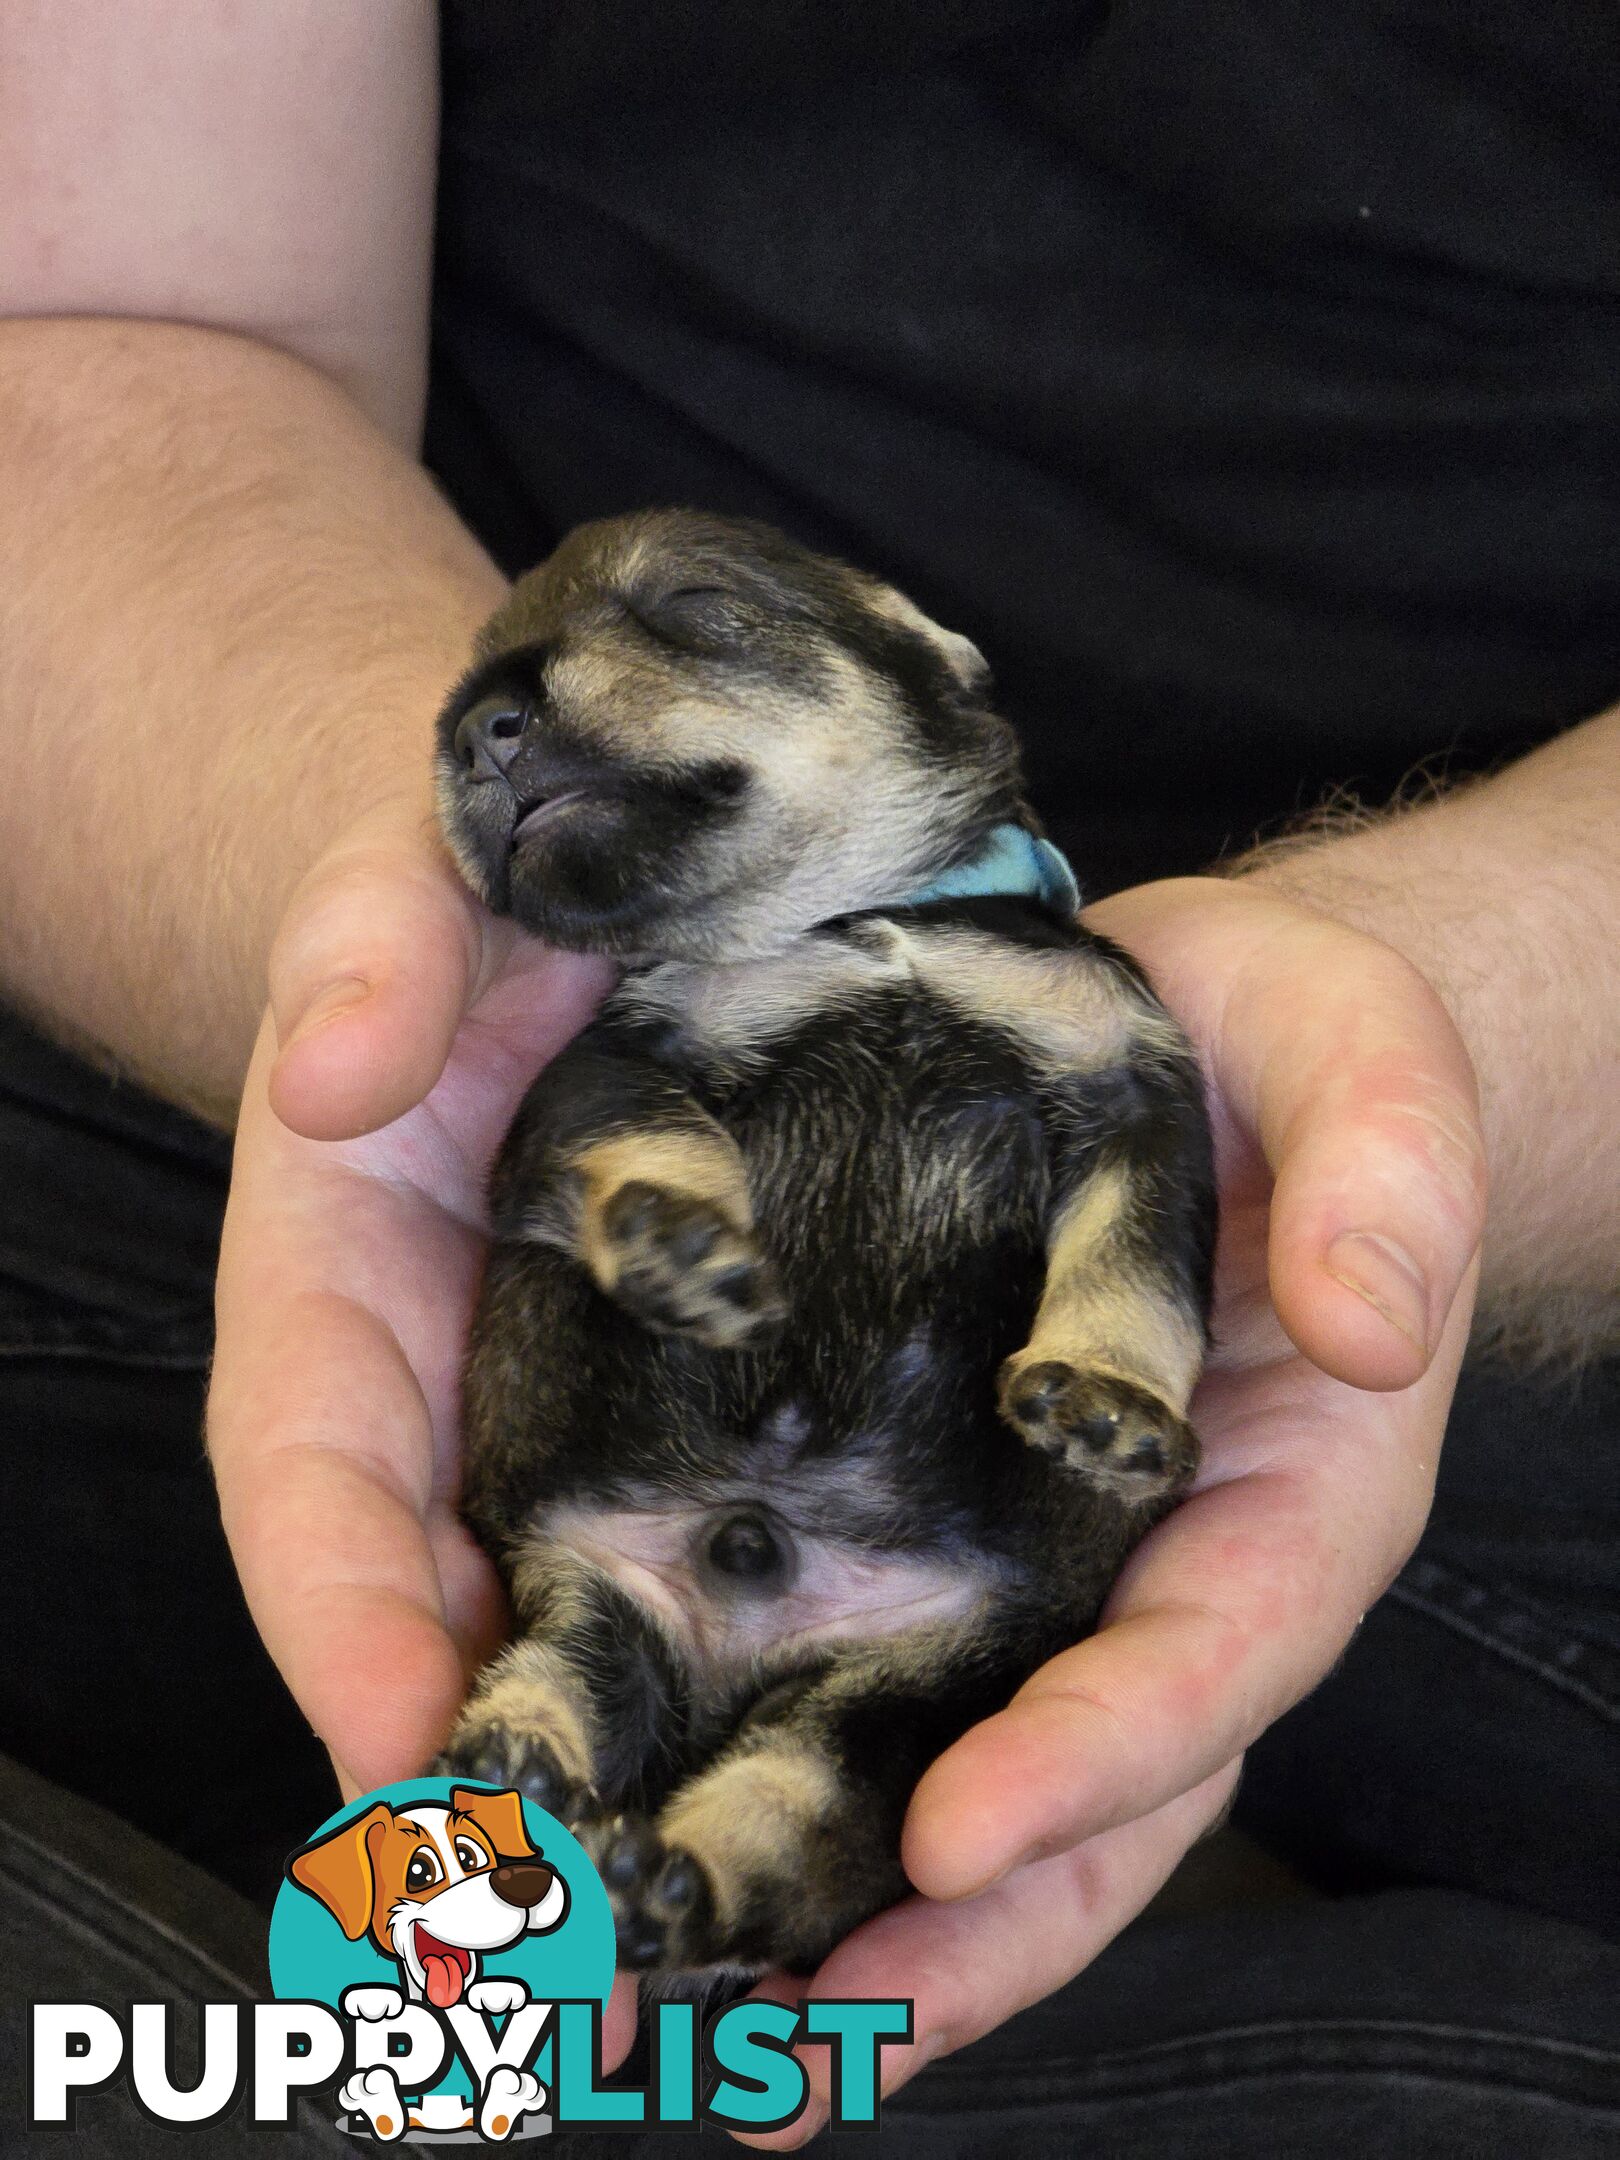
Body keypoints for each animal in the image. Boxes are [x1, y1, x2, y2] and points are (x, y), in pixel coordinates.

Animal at [434, 505, 1218, 1978]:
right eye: (464, 678)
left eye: (694, 601)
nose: (475, 727)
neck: (852, 924)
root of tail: (741, 1620)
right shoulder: (609, 1062)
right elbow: (644, 1131)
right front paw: (680, 1240)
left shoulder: (1133, 1088)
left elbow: (1137, 1270)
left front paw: (1104, 1403)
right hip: (589, 1595)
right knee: (566, 1672)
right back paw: (522, 1761)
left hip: (898, 1701)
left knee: (800, 1811)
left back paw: (676, 1883)